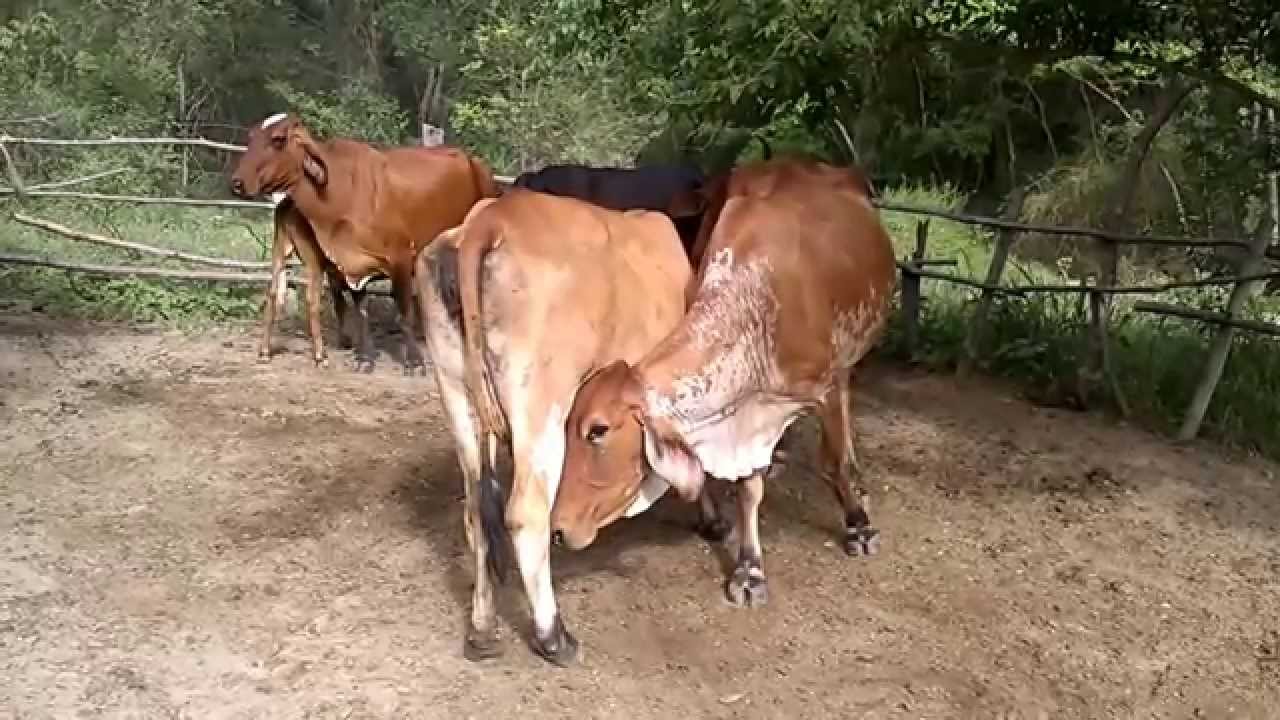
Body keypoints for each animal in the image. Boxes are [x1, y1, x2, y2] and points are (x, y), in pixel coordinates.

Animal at [230, 112, 499, 374]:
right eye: (251, 136)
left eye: (278, 139)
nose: (237, 183)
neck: (341, 192)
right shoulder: (353, 265)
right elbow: (362, 313)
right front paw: (365, 358)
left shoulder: (401, 258)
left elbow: (404, 313)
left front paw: (414, 362)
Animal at [414, 187, 709, 666]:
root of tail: (490, 218)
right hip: (541, 403)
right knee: (525, 513)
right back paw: (553, 636)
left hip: (456, 390)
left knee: (477, 510)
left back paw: (482, 629)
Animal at [548, 157, 897, 609]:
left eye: (598, 430)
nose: (556, 529)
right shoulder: (747, 407)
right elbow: (750, 489)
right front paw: (750, 568)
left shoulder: (827, 385)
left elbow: (833, 460)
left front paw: (858, 524)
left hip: (850, 360)